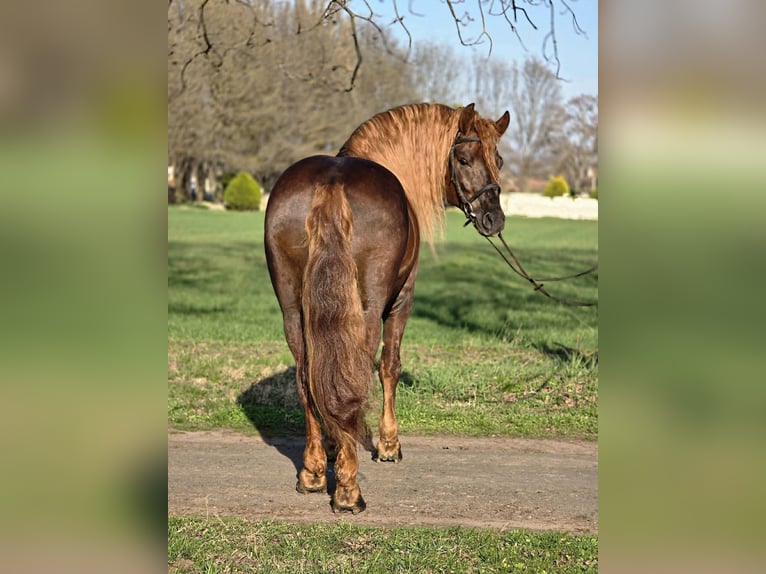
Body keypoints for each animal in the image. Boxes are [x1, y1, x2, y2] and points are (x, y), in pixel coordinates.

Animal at [264, 102, 510, 514]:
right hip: (368, 309)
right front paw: (389, 445)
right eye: (463, 159)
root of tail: (331, 183)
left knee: (306, 376)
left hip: (293, 311)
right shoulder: (401, 301)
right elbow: (390, 367)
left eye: (499, 160)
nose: (495, 219)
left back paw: (313, 472)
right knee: (357, 374)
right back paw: (348, 491)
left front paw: (333, 447)